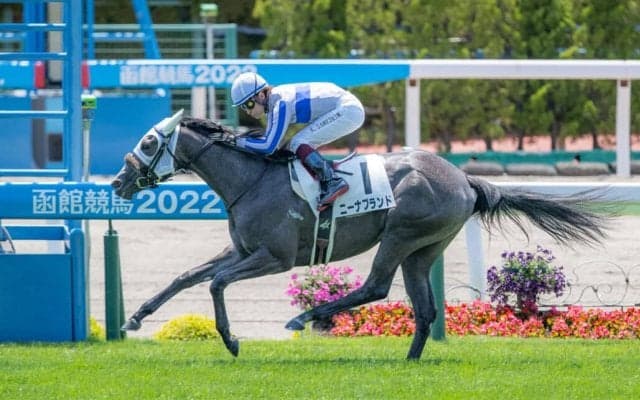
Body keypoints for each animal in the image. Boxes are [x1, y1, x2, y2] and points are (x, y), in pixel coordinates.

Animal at [111, 110, 608, 360]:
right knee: (424, 308)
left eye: (150, 143)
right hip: (424, 249)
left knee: (375, 287)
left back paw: (303, 318)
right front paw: (134, 318)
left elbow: (214, 283)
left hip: (402, 235)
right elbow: (188, 276)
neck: (251, 179)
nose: (118, 181)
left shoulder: (275, 257)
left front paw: (231, 341)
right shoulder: (242, 249)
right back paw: (409, 360)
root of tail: (465, 178)